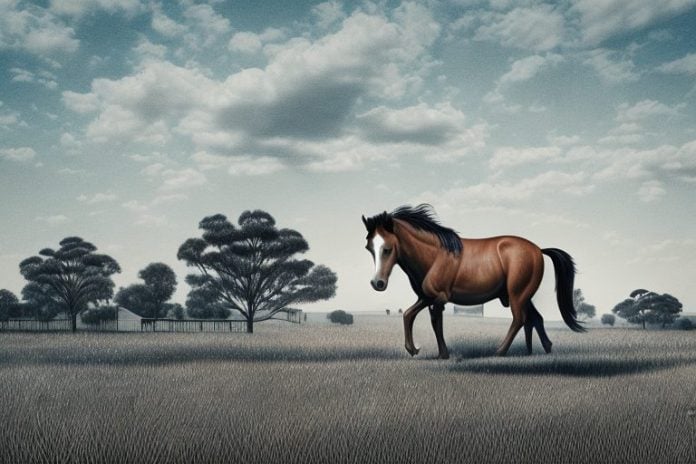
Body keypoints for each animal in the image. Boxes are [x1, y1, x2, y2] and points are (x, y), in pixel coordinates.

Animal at [362, 204, 584, 359]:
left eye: (387, 248)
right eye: (369, 248)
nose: (377, 283)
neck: (434, 256)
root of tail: (538, 249)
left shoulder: (439, 299)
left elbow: (436, 323)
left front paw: (443, 354)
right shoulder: (426, 297)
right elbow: (408, 315)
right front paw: (413, 349)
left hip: (517, 295)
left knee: (520, 320)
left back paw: (500, 351)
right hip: (524, 296)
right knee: (535, 319)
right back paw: (540, 350)